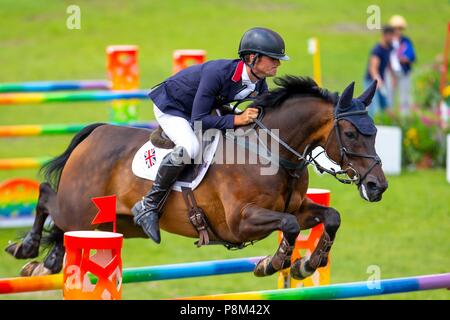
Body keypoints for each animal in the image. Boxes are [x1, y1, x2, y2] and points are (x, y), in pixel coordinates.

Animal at [6, 75, 386, 280]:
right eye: (351, 134)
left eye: (375, 131)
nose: (377, 186)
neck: (271, 152)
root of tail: (96, 133)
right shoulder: (241, 221)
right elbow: (290, 226)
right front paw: (272, 263)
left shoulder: (297, 207)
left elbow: (330, 217)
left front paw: (306, 264)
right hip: (81, 209)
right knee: (46, 195)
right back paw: (25, 247)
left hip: (110, 224)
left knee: (63, 229)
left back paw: (46, 264)